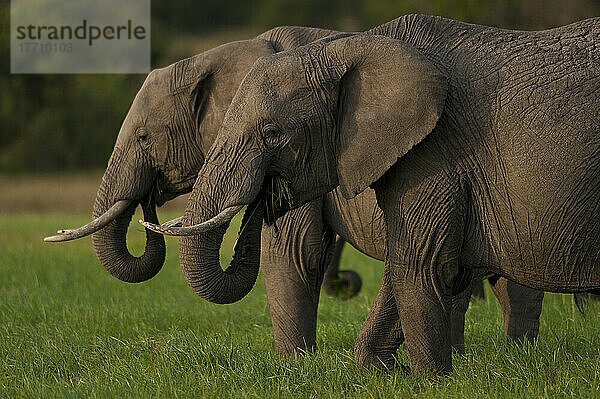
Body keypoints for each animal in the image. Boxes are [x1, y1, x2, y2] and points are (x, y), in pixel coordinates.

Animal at [142, 14, 600, 378]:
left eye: (273, 134)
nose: (265, 194)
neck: (347, 49)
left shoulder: (435, 152)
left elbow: (417, 264)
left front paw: (430, 381)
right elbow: (416, 267)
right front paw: (385, 370)